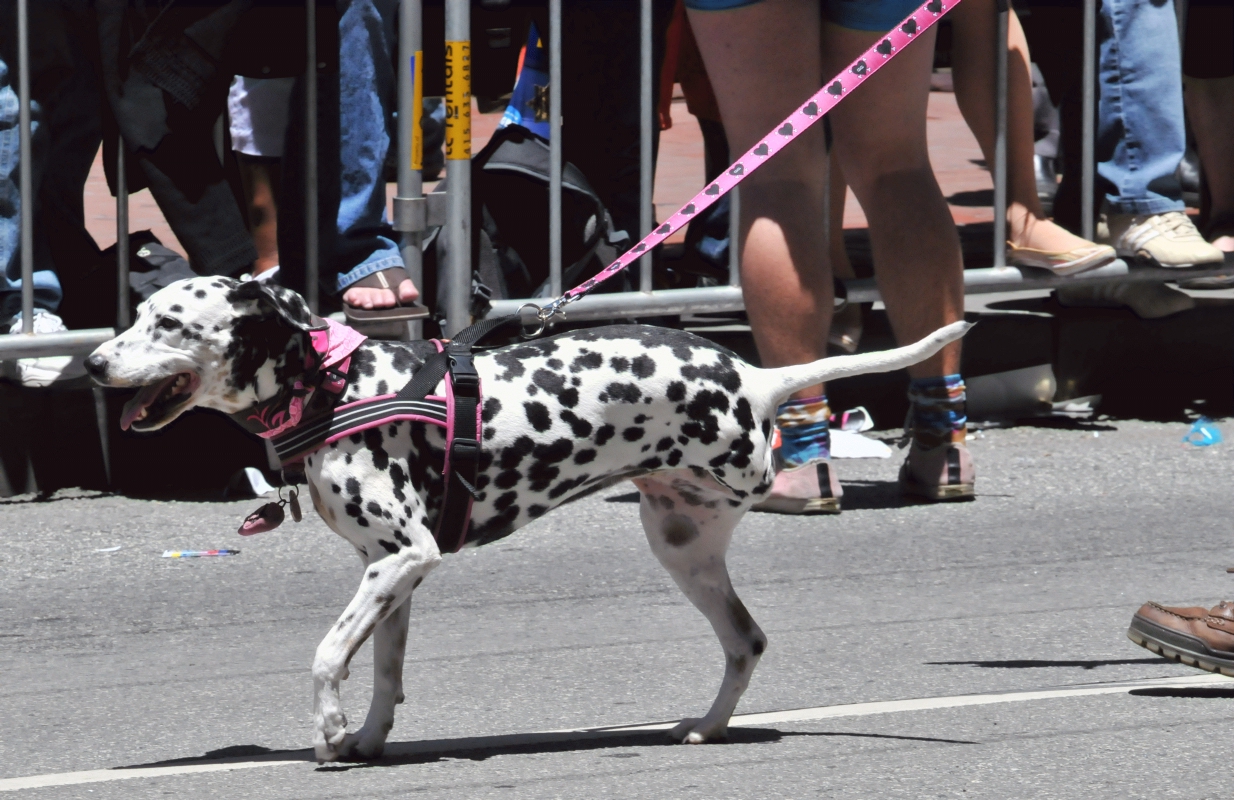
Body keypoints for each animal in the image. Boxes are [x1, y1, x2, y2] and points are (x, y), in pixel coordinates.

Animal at [86, 276, 967, 760]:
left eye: (169, 324)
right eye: (136, 314)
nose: (91, 363)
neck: (334, 384)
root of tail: (756, 376)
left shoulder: (402, 559)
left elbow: (325, 656)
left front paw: (330, 732)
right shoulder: (392, 574)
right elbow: (384, 672)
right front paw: (368, 740)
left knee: (744, 640)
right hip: (682, 547)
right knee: (746, 641)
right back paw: (707, 727)